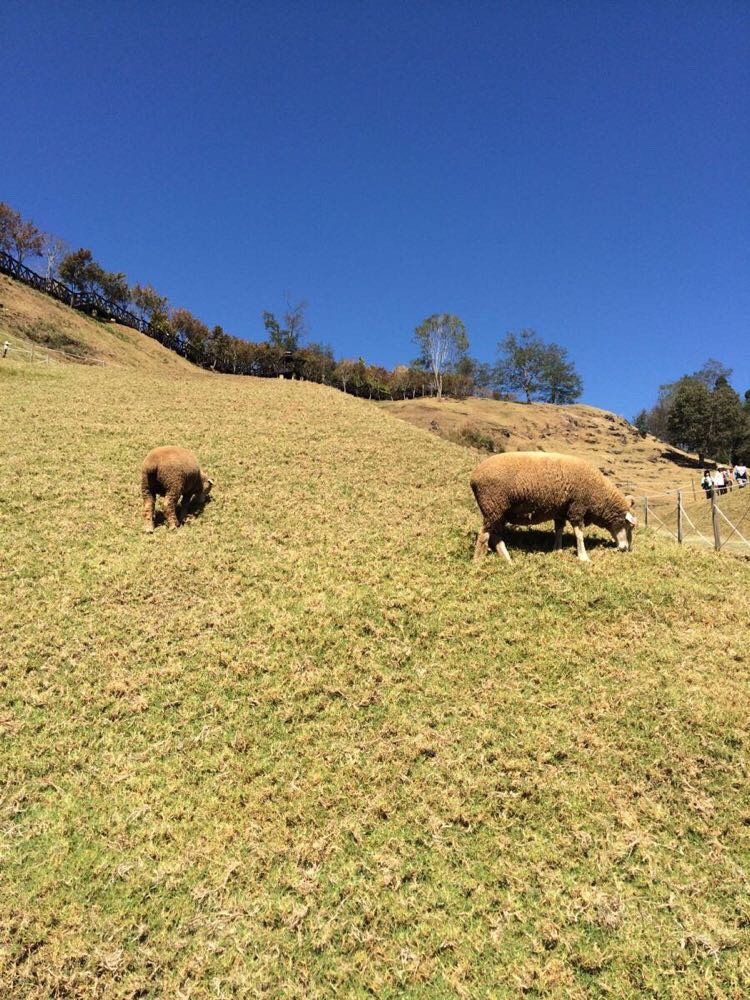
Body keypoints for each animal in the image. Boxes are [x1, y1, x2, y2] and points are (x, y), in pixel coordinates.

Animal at [472, 454, 636, 564]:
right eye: (628, 525)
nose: (625, 549)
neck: (598, 494)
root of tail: (474, 476)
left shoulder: (560, 511)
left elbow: (559, 530)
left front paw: (557, 549)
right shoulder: (577, 508)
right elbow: (579, 534)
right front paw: (583, 557)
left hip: (499, 511)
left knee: (495, 535)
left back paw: (507, 559)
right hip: (493, 505)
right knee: (484, 534)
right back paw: (477, 560)